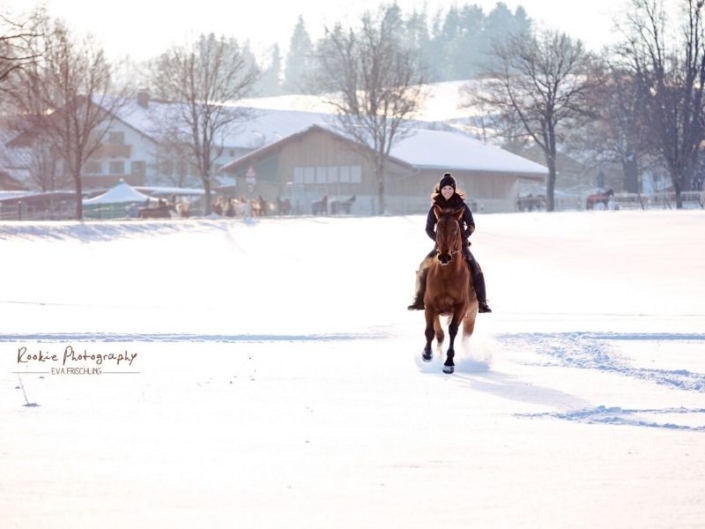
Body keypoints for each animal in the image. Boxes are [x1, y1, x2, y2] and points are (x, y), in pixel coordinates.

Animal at [418, 204, 478, 374]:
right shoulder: (430, 306)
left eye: (456, 230)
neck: (447, 275)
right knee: (439, 334)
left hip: (471, 315)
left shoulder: (461, 307)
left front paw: (449, 363)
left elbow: (453, 331)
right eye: (438, 229)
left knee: (465, 337)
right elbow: (431, 331)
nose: (444, 257)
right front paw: (427, 354)